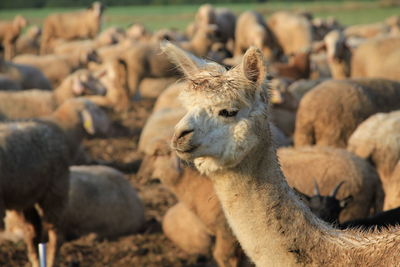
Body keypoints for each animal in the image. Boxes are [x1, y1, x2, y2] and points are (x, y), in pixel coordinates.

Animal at [0, 98, 109, 267]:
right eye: (96, 110)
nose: (109, 125)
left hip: (44, 191)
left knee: (46, 232)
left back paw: (45, 260)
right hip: (37, 192)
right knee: (41, 232)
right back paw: (42, 260)